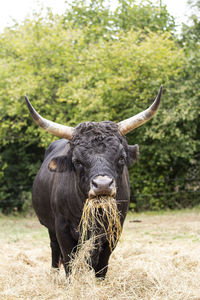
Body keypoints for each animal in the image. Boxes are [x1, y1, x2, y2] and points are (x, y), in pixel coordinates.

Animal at [25, 85, 162, 278]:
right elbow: (69, 261)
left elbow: (102, 265)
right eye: (77, 161)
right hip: (50, 227)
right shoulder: (62, 228)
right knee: (54, 249)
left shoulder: (114, 228)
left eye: (121, 157)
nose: (103, 185)